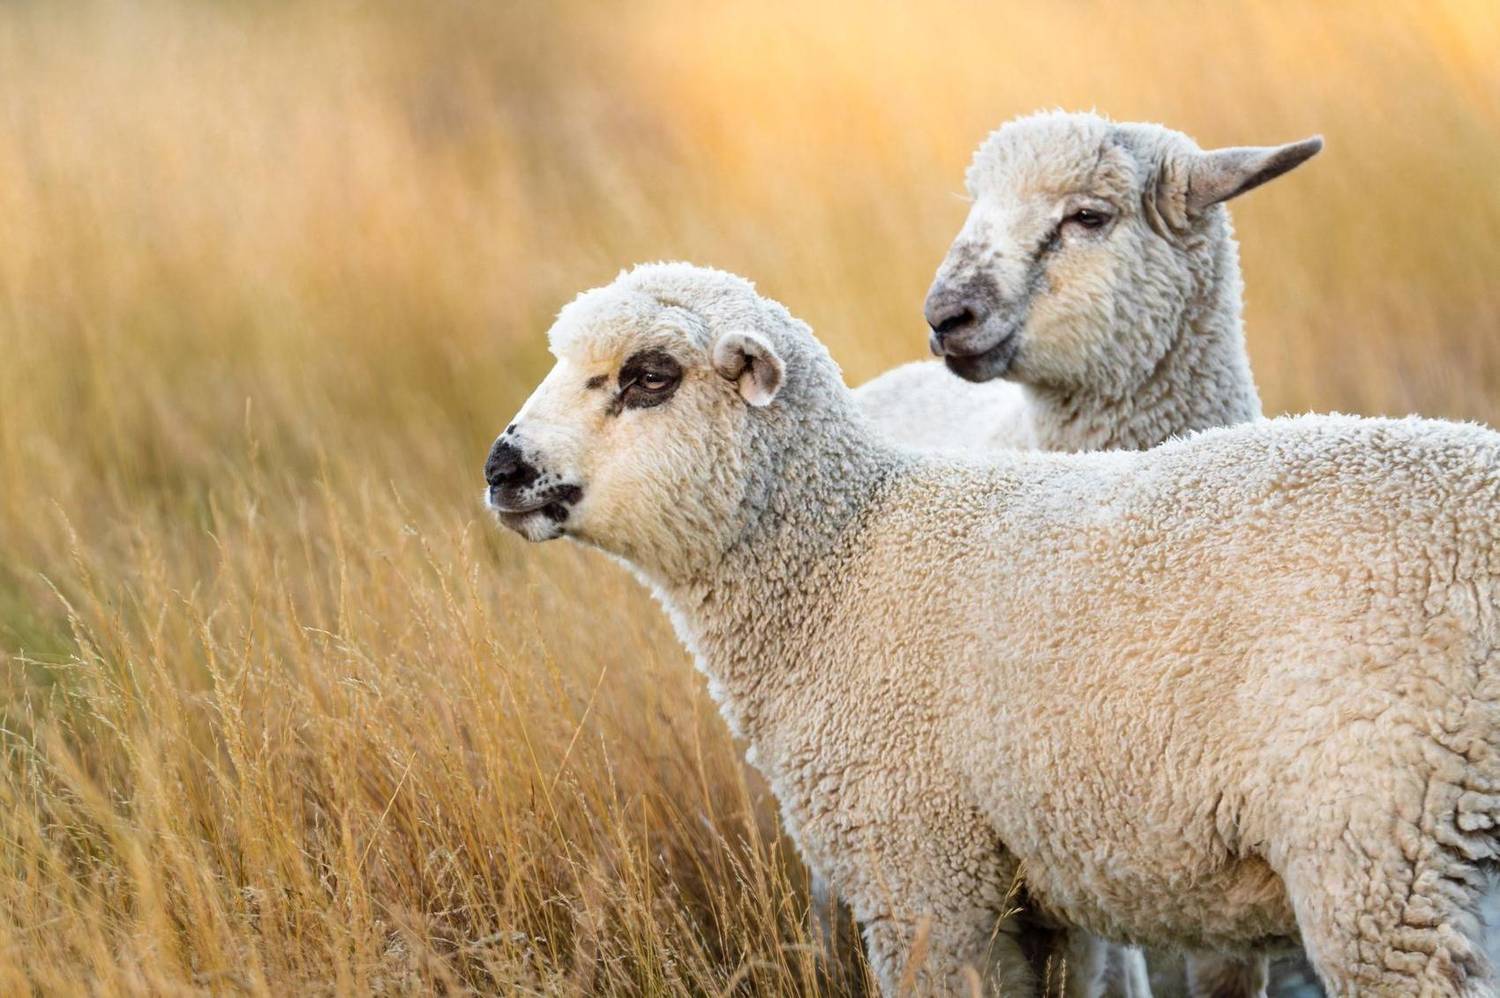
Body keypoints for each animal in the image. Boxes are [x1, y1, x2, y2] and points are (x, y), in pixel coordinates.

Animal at [485, 262, 1500, 997]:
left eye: (649, 376)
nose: (503, 468)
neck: (840, 562)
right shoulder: (1040, 890)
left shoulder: (923, 876)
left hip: (1386, 846)